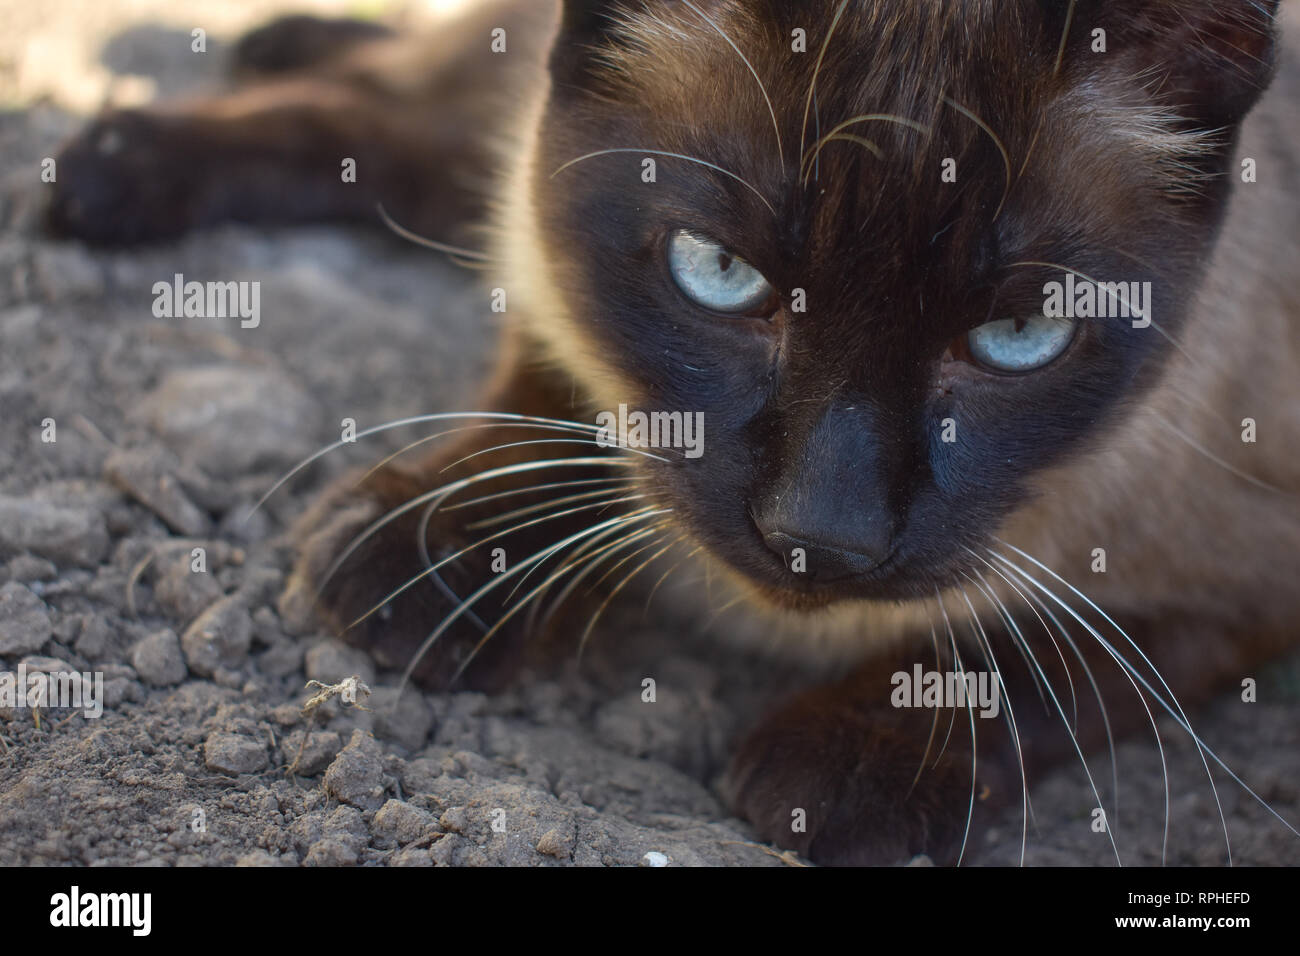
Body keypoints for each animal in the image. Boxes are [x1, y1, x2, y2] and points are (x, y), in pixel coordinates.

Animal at [45, 1, 1294, 868]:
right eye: (719, 274)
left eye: (1019, 336)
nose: (819, 532)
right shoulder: (551, 300)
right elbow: (560, 421)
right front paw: (426, 558)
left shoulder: (1236, 585)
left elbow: (1030, 658)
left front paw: (846, 771)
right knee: (387, 109)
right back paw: (112, 168)